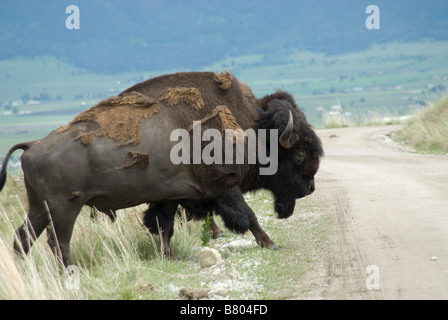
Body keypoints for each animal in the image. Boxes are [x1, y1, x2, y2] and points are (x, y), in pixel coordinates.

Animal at [0, 71, 322, 266]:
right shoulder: (224, 186)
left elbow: (164, 227)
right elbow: (249, 216)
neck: (253, 129)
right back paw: (70, 273)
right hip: (64, 207)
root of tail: (31, 146)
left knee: (23, 237)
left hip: (39, 207)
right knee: (58, 242)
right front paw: (270, 244)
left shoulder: (170, 196)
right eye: (298, 154)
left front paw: (168, 256)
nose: (310, 188)